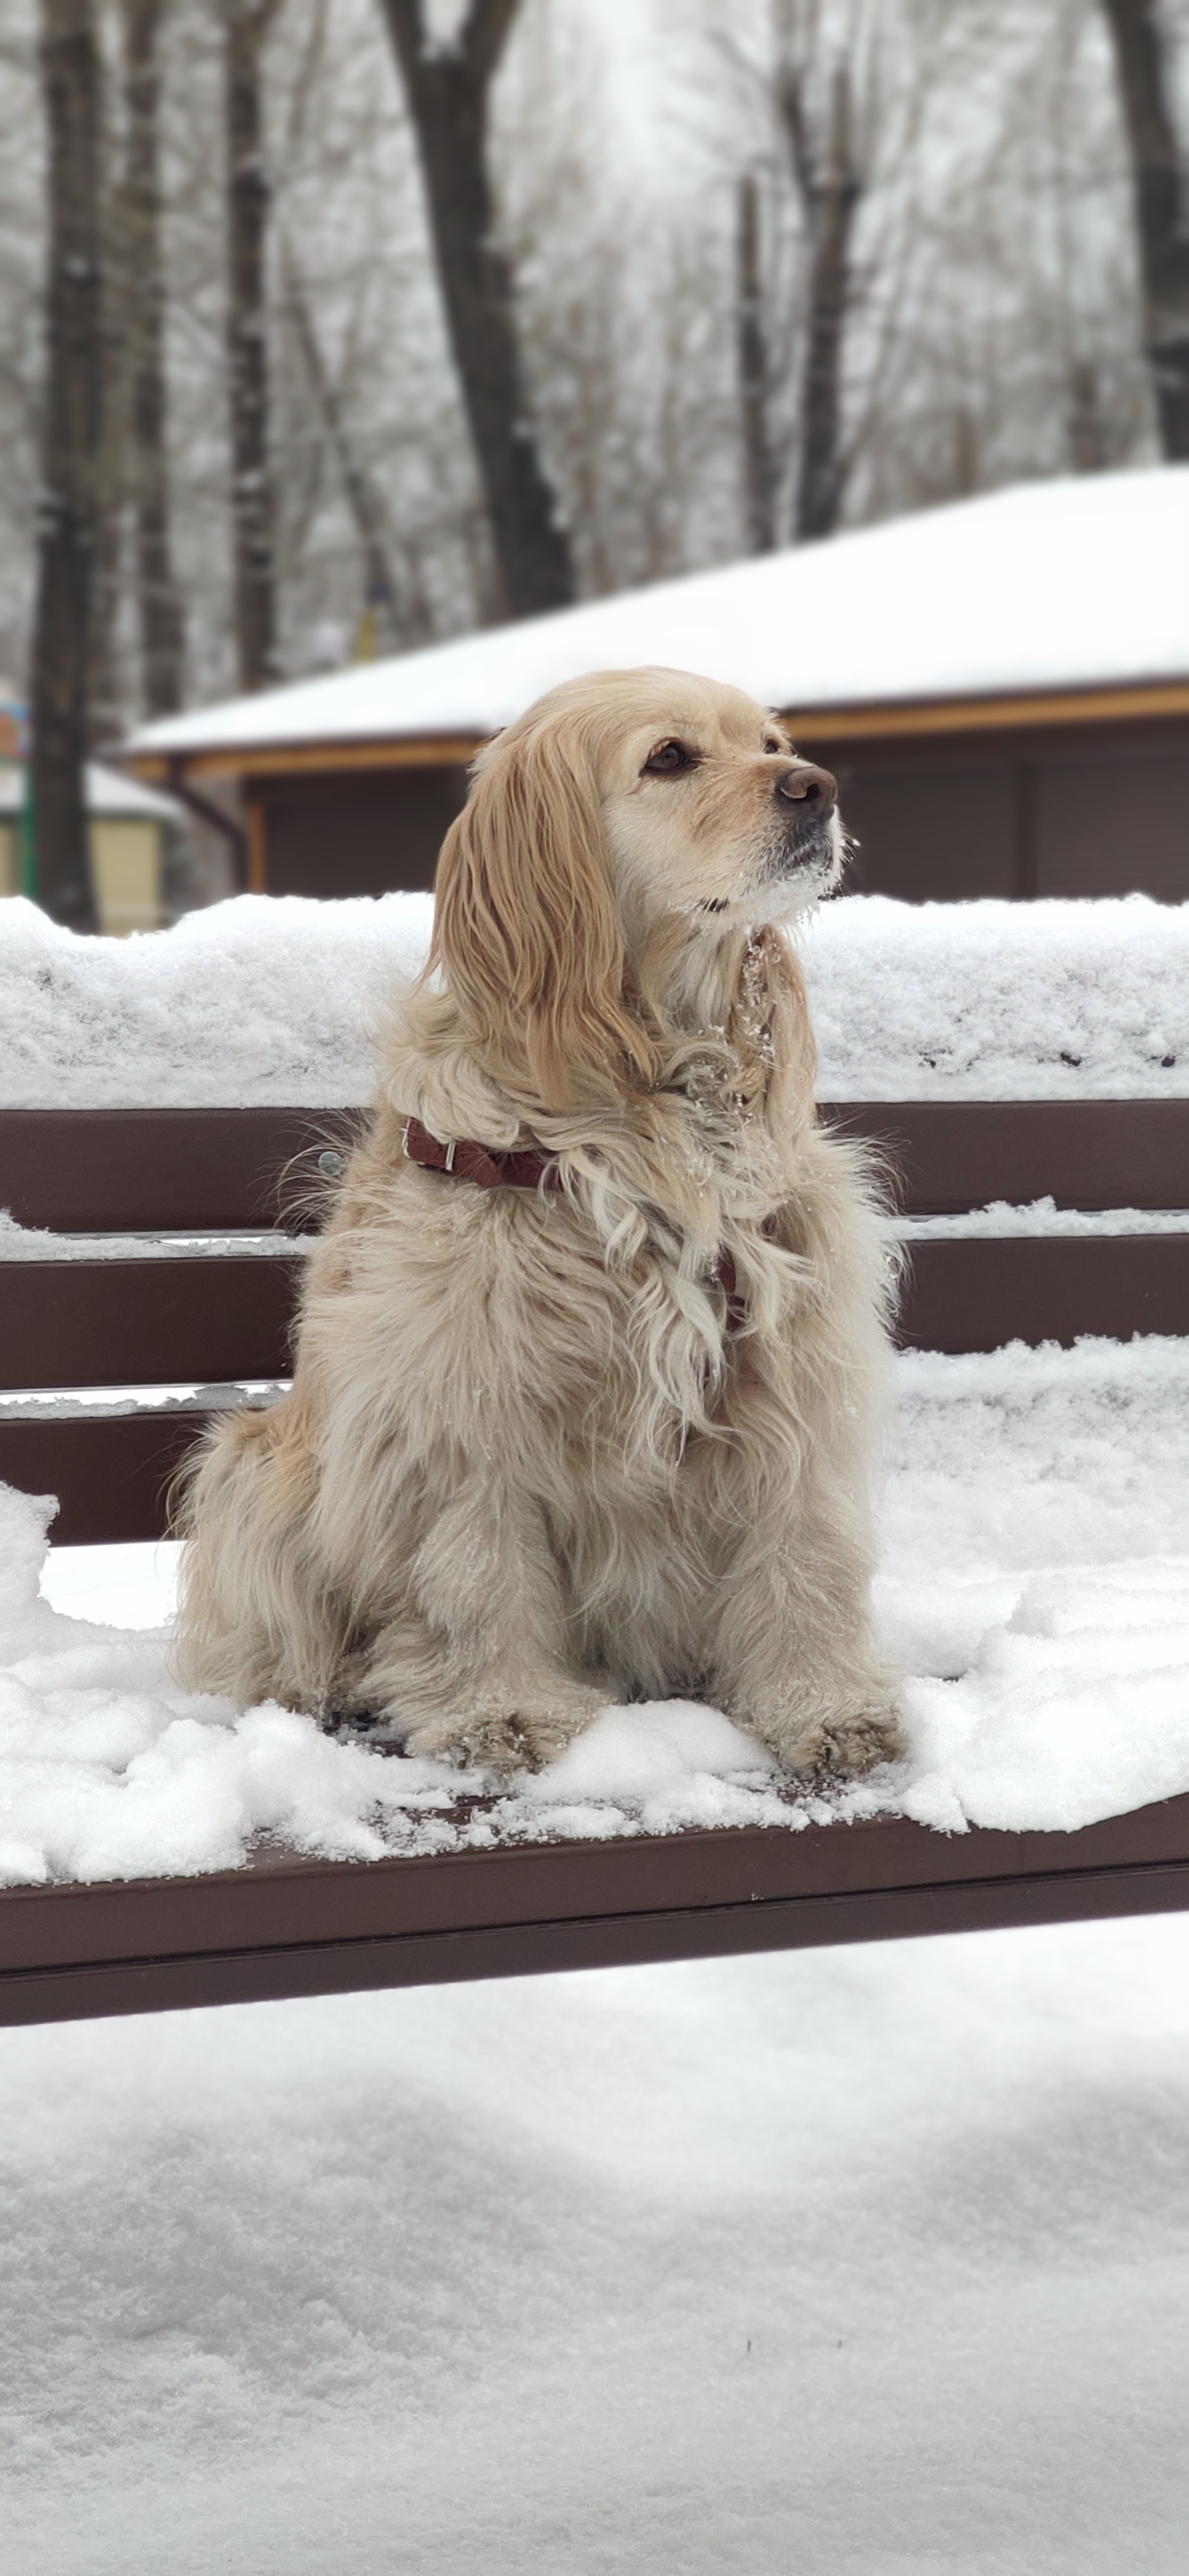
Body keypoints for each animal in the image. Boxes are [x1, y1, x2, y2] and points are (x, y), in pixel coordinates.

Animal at [176, 675, 900, 1783]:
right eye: (669, 758)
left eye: (775, 745)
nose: (814, 788)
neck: (648, 1101)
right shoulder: (461, 1406)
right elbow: (476, 1578)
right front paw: (503, 1712)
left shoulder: (789, 1383)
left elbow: (802, 1559)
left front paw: (823, 1705)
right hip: (250, 1465)